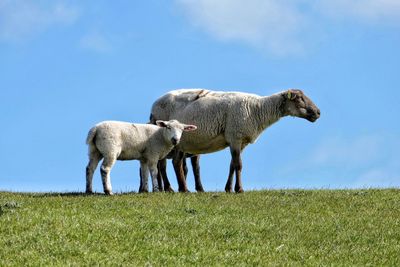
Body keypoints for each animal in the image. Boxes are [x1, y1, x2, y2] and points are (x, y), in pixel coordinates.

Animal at [150, 89, 322, 194]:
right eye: (299, 98)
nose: (318, 112)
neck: (258, 109)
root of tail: (154, 105)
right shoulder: (235, 136)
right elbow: (239, 165)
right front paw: (239, 189)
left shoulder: (241, 141)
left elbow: (232, 165)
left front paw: (228, 188)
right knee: (172, 163)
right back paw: (178, 189)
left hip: (182, 141)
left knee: (176, 163)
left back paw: (181, 188)